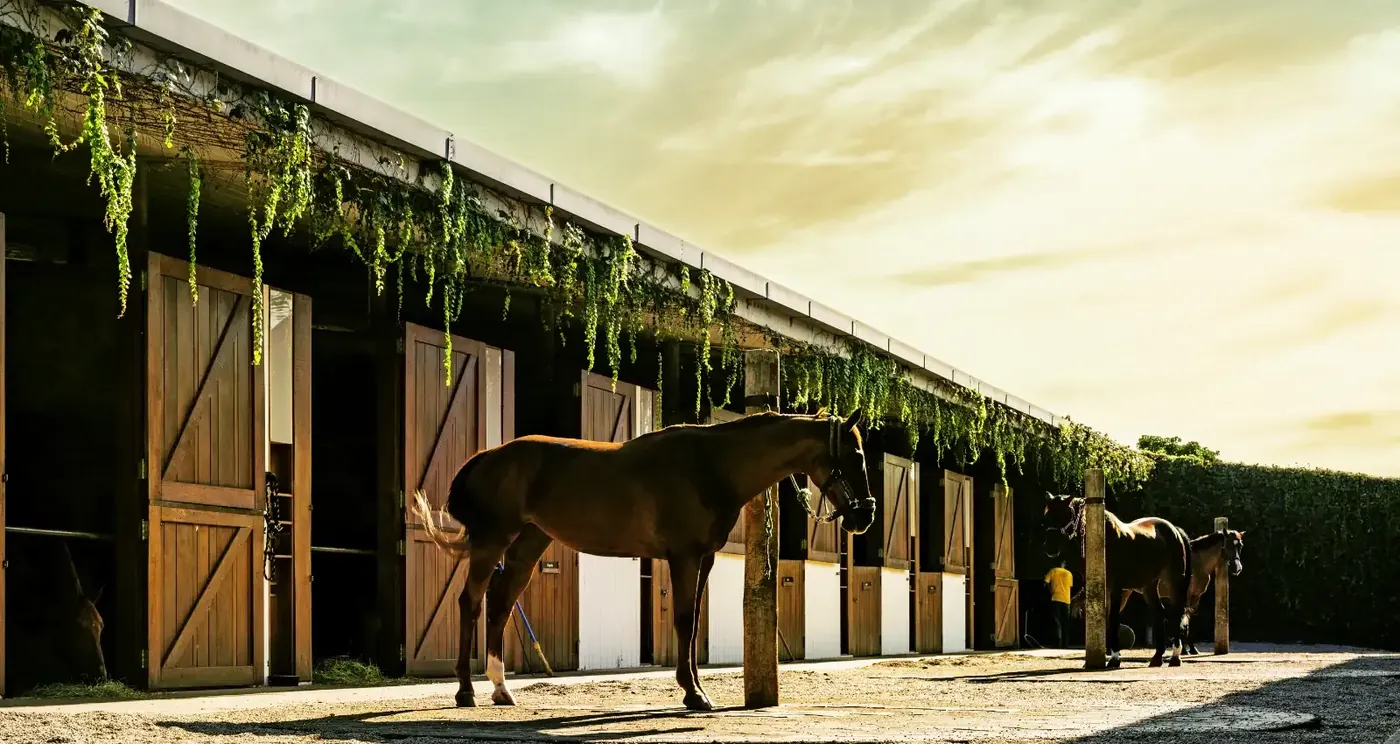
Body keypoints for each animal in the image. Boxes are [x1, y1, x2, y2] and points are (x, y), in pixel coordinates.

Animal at [414, 409, 876, 712]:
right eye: (853, 457)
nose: (865, 516)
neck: (712, 466)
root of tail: (489, 456)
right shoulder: (684, 556)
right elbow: (685, 621)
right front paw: (694, 694)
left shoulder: (703, 558)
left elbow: (693, 623)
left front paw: (696, 689)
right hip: (492, 541)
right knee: (471, 603)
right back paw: (466, 692)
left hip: (528, 544)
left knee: (500, 603)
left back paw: (500, 689)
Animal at [1043, 493, 1192, 669]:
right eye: (1047, 515)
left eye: (1065, 514)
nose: (1050, 548)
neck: (1105, 542)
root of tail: (1175, 530)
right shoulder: (1104, 589)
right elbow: (1107, 618)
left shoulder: (1116, 588)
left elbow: (1113, 617)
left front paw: (1114, 658)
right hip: (1148, 585)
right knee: (1159, 612)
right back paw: (1157, 657)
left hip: (1174, 581)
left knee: (1176, 612)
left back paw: (1175, 656)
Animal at [1072, 529, 1245, 656]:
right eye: (1229, 544)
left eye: (1240, 545)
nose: (1237, 568)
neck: (1198, 562)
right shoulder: (1186, 596)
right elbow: (1183, 621)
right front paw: (1185, 650)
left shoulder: (1196, 598)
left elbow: (1190, 622)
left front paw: (1192, 649)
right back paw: (1110, 650)